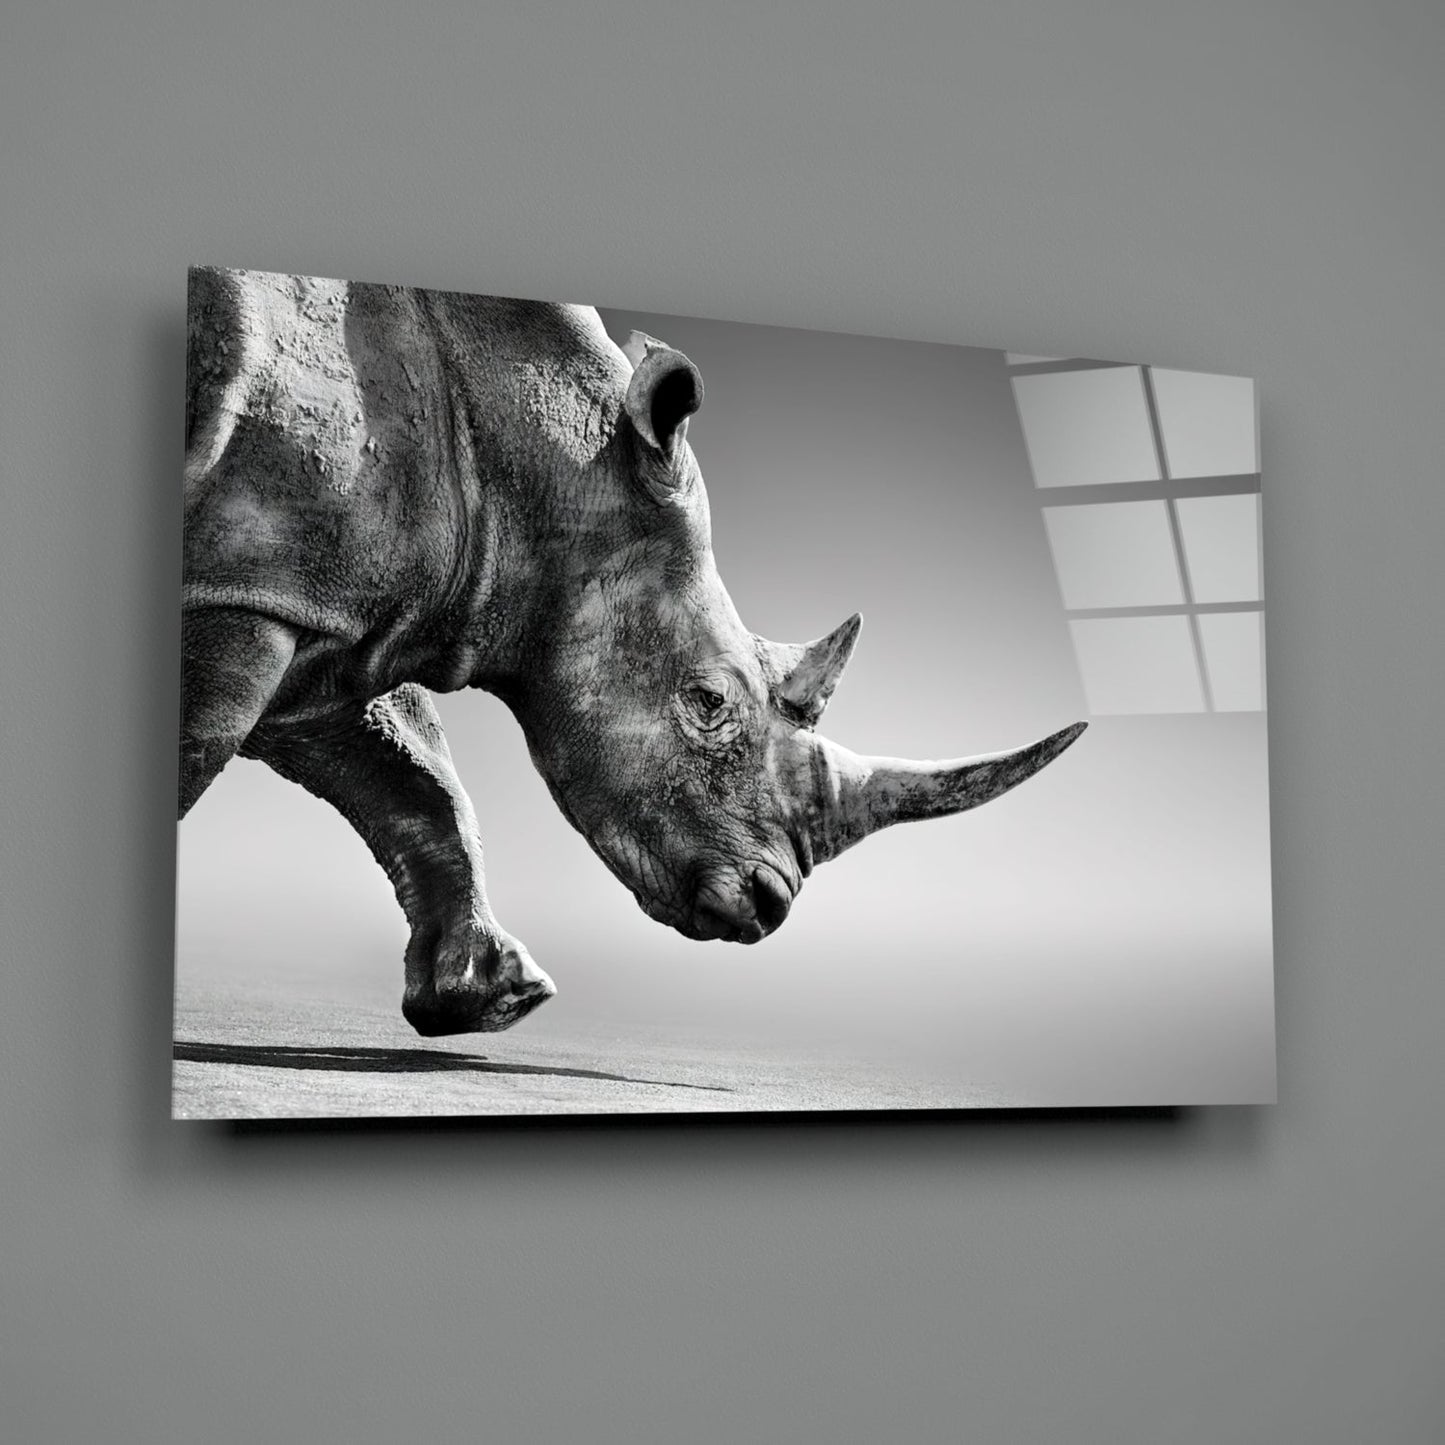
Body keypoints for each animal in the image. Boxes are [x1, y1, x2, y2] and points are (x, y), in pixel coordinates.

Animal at [181, 267, 1085, 1036]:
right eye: (708, 702)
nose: (770, 903)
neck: (545, 463)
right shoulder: (249, 589)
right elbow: (203, 746)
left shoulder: (312, 595)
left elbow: (408, 770)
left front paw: (494, 1000)